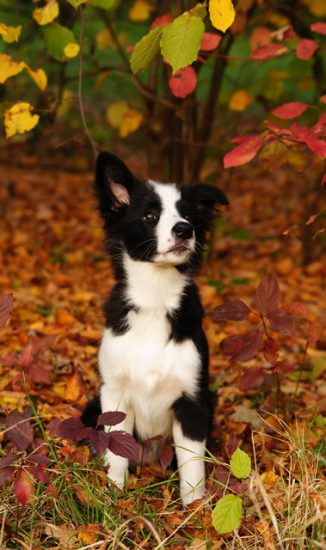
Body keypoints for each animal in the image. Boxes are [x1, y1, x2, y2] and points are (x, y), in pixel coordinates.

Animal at [83, 153, 228, 506]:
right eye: (149, 215)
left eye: (189, 215)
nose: (184, 230)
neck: (155, 298)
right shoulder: (114, 393)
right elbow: (117, 450)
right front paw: (114, 495)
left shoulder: (193, 401)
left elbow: (192, 467)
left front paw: (194, 510)